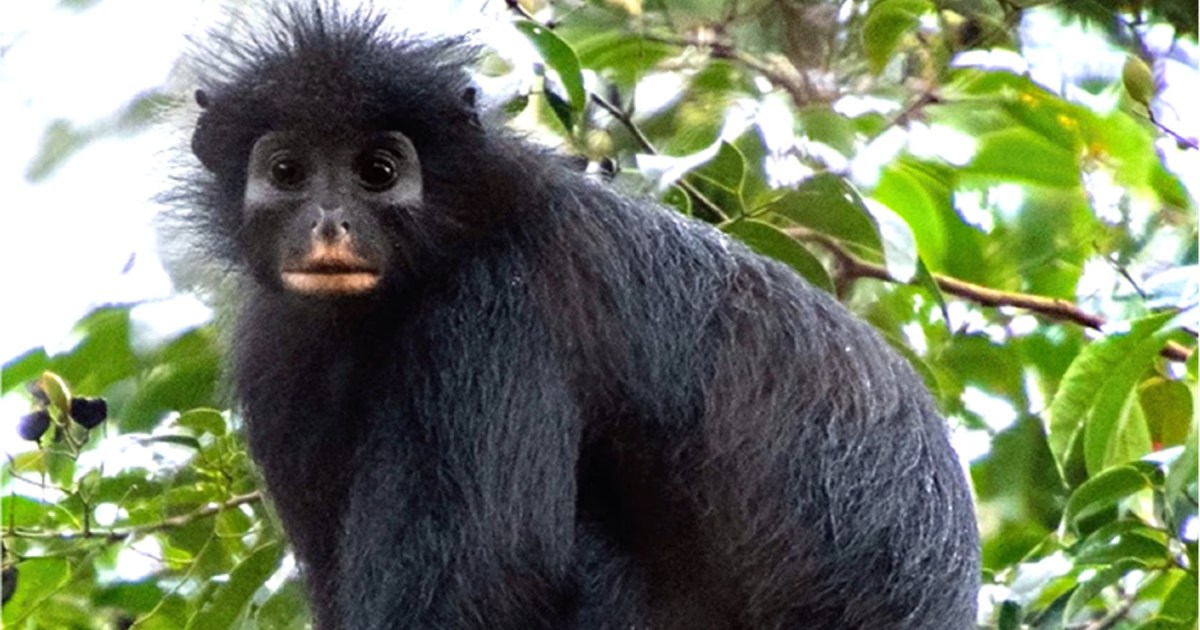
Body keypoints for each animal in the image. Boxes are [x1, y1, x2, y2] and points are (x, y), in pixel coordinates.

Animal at [168, 3, 979, 628]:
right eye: (287, 172)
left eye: (378, 172)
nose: (329, 224)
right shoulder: (278, 352)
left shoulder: (495, 308)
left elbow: (491, 577)